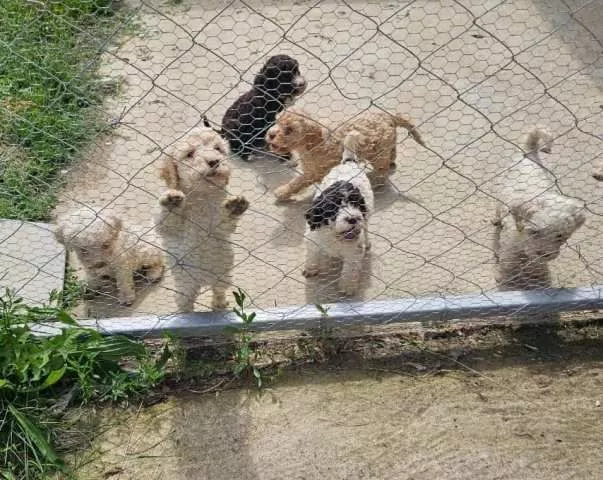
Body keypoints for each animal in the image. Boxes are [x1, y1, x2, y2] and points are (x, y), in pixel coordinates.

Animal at [157, 125, 251, 312]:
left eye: (218, 149)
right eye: (189, 154)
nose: (214, 161)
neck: (202, 195)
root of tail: (204, 281)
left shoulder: (218, 227)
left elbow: (225, 223)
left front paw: (235, 207)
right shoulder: (170, 230)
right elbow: (168, 222)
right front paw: (171, 202)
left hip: (223, 276)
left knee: (218, 291)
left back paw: (219, 305)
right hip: (185, 287)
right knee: (185, 302)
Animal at [264, 108, 424, 201]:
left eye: (289, 130)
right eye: (277, 121)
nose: (270, 134)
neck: (313, 144)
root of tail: (388, 116)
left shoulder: (314, 172)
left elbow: (298, 182)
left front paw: (282, 191)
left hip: (378, 153)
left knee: (381, 173)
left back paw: (373, 181)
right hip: (386, 144)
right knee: (391, 153)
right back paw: (391, 161)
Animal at [304, 131, 376, 296]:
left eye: (356, 204)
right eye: (334, 208)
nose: (353, 219)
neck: (335, 235)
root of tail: (348, 163)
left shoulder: (353, 250)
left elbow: (350, 269)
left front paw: (347, 286)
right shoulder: (313, 238)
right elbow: (312, 254)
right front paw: (311, 268)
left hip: (367, 214)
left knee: (366, 227)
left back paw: (367, 242)